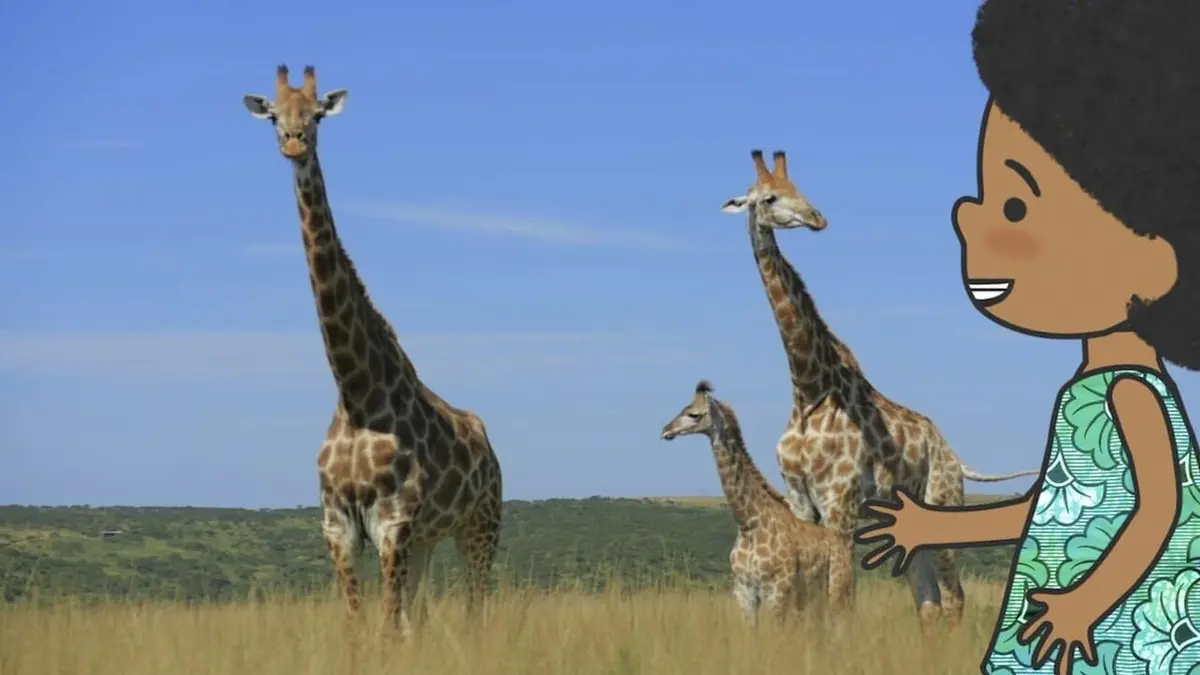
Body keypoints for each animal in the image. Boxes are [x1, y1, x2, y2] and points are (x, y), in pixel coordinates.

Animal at [241, 65, 503, 636]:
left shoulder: (393, 522)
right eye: (273, 114)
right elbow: (364, 626)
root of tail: (489, 444)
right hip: (430, 537)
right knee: (421, 614)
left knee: (476, 606)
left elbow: (387, 628)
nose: (294, 142)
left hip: (481, 524)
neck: (356, 393)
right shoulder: (339, 526)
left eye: (317, 115)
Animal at [660, 380, 833, 623]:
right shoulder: (744, 592)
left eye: (693, 414)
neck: (748, 524)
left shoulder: (777, 591)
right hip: (808, 595)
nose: (665, 430)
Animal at [719, 150, 1039, 632]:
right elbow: (814, 601)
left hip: (942, 503)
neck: (808, 391)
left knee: (953, 599)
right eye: (769, 197)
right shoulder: (802, 501)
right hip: (909, 525)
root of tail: (953, 455)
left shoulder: (840, 500)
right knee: (928, 604)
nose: (817, 218)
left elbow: (840, 600)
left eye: (799, 188)